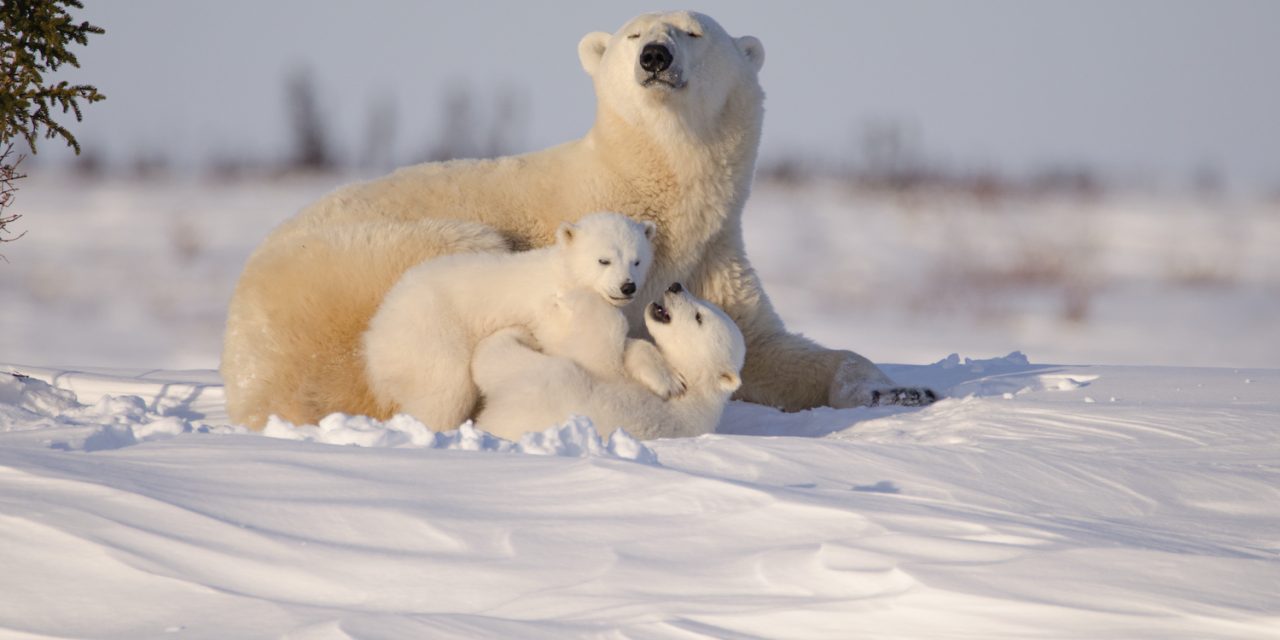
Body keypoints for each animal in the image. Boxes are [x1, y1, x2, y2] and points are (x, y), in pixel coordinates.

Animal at [362, 211, 675, 429]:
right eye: (604, 260)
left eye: (636, 260)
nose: (627, 287)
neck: (564, 275)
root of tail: (376, 332)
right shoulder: (552, 310)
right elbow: (577, 348)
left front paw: (666, 380)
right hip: (430, 333)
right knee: (444, 391)